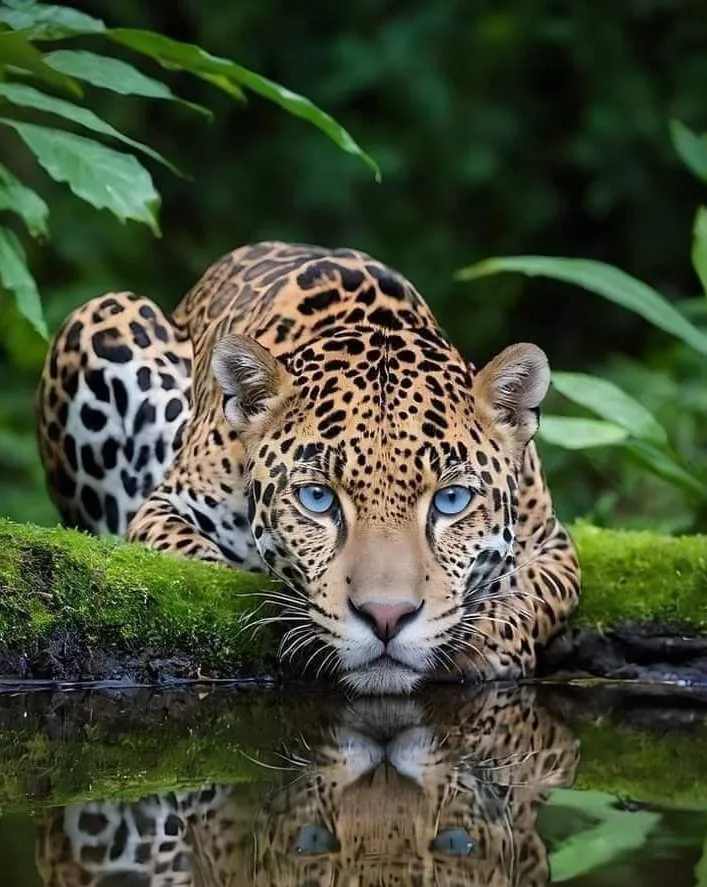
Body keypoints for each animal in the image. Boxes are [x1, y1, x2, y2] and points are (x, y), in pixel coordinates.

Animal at [36, 241, 581, 694]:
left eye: (452, 500)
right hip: (102, 314)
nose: (386, 618)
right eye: (317, 499)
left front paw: (487, 636)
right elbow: (196, 565)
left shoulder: (554, 544)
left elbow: (535, 591)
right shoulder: (166, 508)